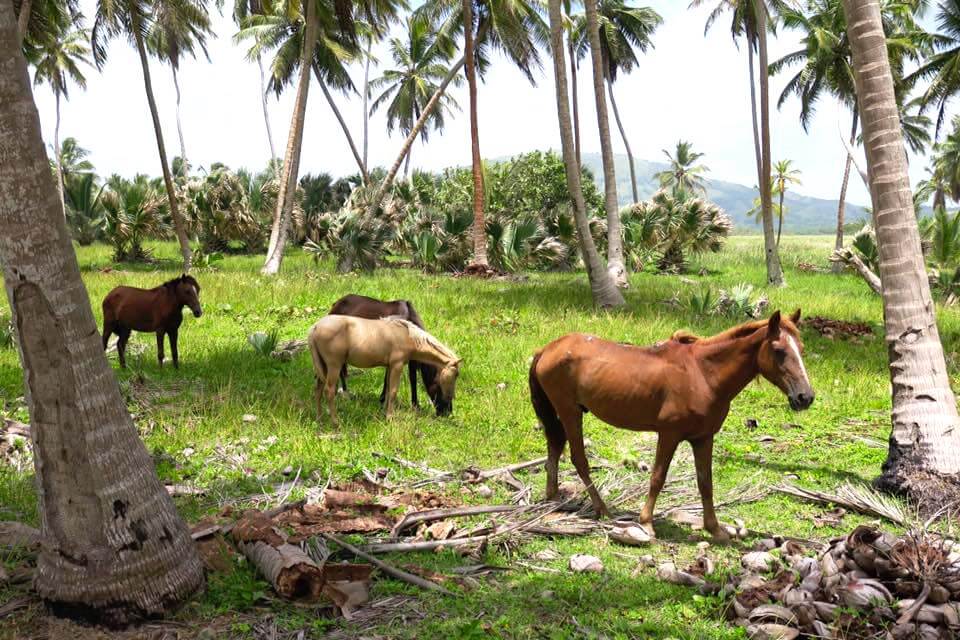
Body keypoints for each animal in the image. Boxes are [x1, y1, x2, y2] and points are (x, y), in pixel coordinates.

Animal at [308, 315, 461, 426]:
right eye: (456, 374)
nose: (448, 411)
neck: (407, 336)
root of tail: (315, 327)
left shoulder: (390, 367)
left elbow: (387, 391)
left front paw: (385, 413)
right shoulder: (397, 365)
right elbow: (393, 392)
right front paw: (390, 418)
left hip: (323, 368)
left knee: (317, 391)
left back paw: (319, 419)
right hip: (334, 366)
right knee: (328, 391)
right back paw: (335, 422)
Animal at [528, 309, 813, 542]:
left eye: (801, 347)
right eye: (779, 351)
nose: (805, 397)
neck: (703, 374)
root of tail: (547, 349)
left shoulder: (703, 437)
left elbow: (705, 482)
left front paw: (715, 529)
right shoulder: (669, 434)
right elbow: (658, 477)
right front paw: (646, 523)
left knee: (555, 447)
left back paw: (553, 498)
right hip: (570, 412)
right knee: (578, 458)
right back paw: (602, 510)